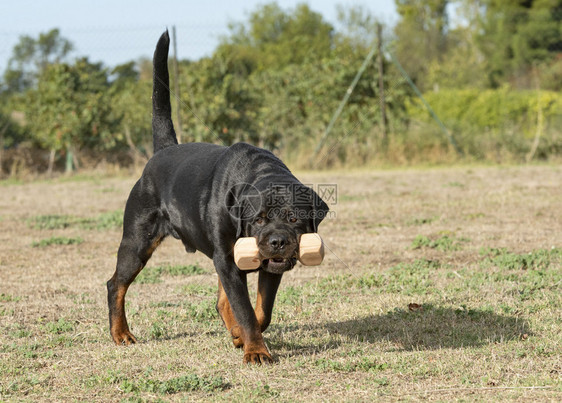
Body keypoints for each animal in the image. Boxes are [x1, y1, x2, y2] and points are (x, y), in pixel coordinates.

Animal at [105, 31, 328, 364]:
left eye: (293, 218)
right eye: (258, 220)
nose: (277, 241)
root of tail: (162, 152)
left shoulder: (260, 267)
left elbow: (260, 310)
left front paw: (241, 337)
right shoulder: (228, 258)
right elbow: (246, 310)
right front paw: (256, 350)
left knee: (223, 300)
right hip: (136, 242)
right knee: (116, 284)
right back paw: (121, 333)